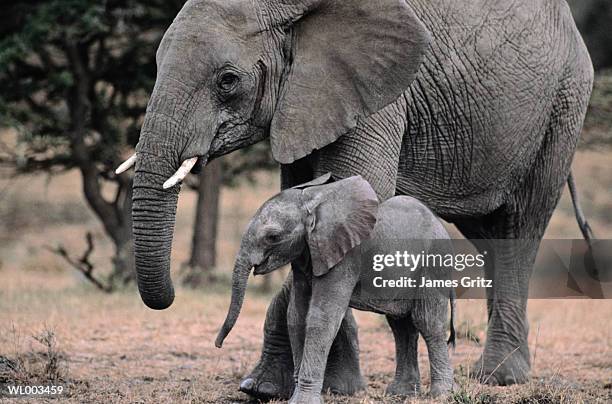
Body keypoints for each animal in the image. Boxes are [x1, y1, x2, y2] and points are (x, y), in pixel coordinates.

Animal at [215, 174, 454, 404]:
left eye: (273, 237)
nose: (218, 344)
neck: (312, 200)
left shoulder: (345, 257)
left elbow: (321, 317)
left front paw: (303, 402)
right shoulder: (305, 255)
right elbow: (297, 316)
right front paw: (295, 397)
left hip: (433, 266)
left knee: (428, 323)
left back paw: (441, 395)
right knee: (401, 327)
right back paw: (401, 394)